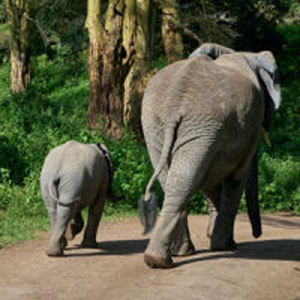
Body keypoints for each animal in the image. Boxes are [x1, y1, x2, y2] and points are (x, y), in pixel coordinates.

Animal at [139, 41, 280, 268]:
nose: (257, 234)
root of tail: (175, 102)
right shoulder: (249, 125)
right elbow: (236, 177)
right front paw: (225, 246)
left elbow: (208, 179)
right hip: (198, 122)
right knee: (187, 177)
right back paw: (164, 259)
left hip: (160, 124)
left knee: (176, 179)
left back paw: (168, 256)